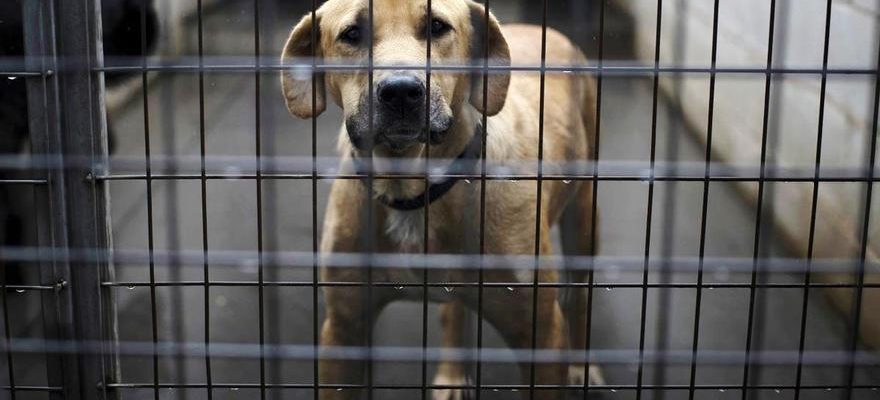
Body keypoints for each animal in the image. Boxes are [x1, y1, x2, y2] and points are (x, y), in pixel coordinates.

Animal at [284, 1, 604, 398]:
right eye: (352, 34)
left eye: (437, 27)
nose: (401, 91)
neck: (410, 188)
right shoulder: (343, 332)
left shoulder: (542, 335)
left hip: (584, 221)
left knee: (581, 297)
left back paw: (582, 366)